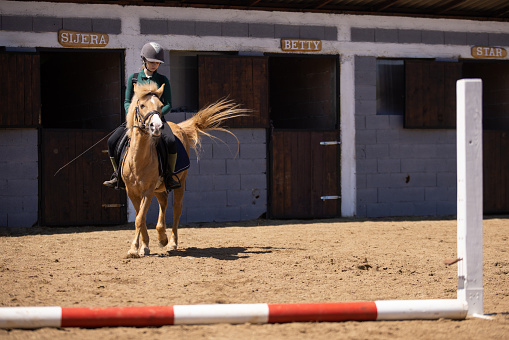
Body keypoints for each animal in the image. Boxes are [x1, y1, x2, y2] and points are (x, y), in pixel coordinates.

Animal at [120, 82, 245, 256]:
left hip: (180, 182)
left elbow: (139, 219)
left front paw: (134, 249)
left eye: (160, 106)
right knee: (164, 200)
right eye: (142, 105)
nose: (157, 127)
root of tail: (178, 127)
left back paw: (171, 242)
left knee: (176, 209)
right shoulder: (131, 191)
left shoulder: (148, 191)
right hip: (159, 187)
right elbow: (141, 218)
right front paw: (143, 246)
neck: (138, 160)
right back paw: (161, 237)